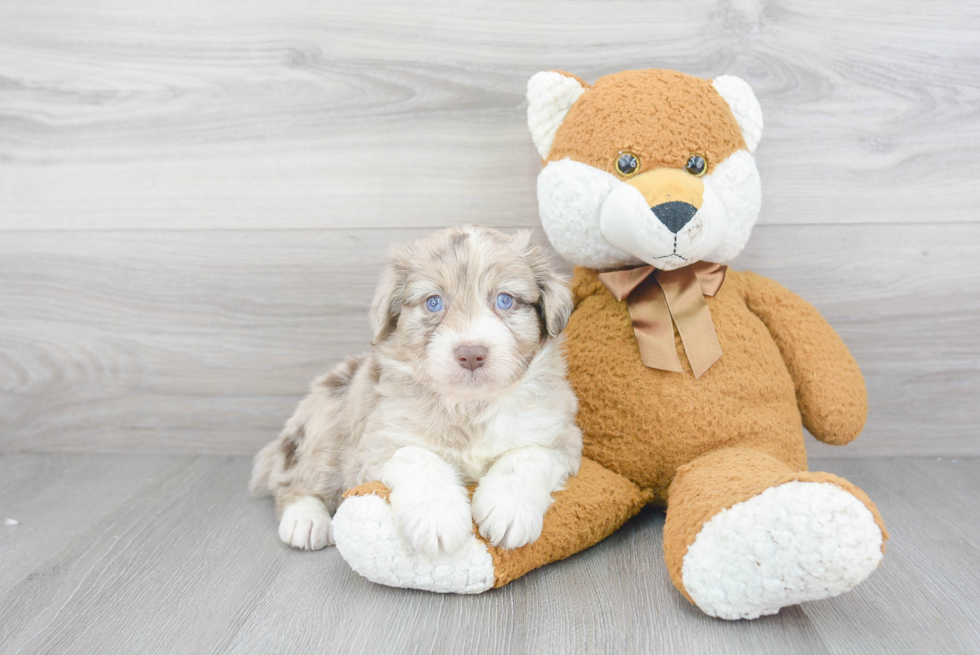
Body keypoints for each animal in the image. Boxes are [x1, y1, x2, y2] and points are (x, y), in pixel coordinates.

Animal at [251, 227, 580, 560]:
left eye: (505, 300)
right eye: (433, 302)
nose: (471, 354)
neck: (469, 405)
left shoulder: (562, 435)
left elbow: (528, 454)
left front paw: (509, 508)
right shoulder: (376, 442)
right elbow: (417, 456)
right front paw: (437, 518)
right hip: (326, 420)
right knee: (294, 481)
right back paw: (305, 519)